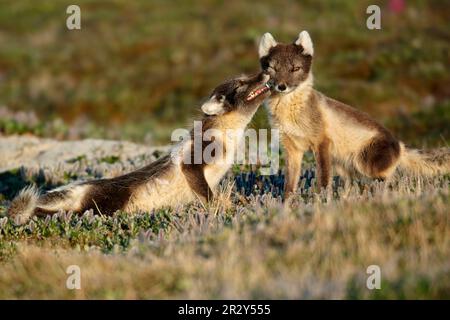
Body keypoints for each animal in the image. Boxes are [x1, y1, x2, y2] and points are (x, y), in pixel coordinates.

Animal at [7, 73, 270, 224]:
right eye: (241, 84)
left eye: (245, 78)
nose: (264, 72)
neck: (230, 135)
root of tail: (81, 188)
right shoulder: (196, 157)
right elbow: (203, 188)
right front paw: (220, 208)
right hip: (105, 204)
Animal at [258, 30, 448, 195]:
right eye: (273, 68)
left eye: (295, 69)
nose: (282, 86)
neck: (290, 112)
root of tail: (399, 144)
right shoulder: (293, 149)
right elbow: (289, 187)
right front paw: (287, 206)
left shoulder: (321, 143)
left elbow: (323, 181)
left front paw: (321, 200)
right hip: (343, 166)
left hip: (364, 163)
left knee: (392, 179)